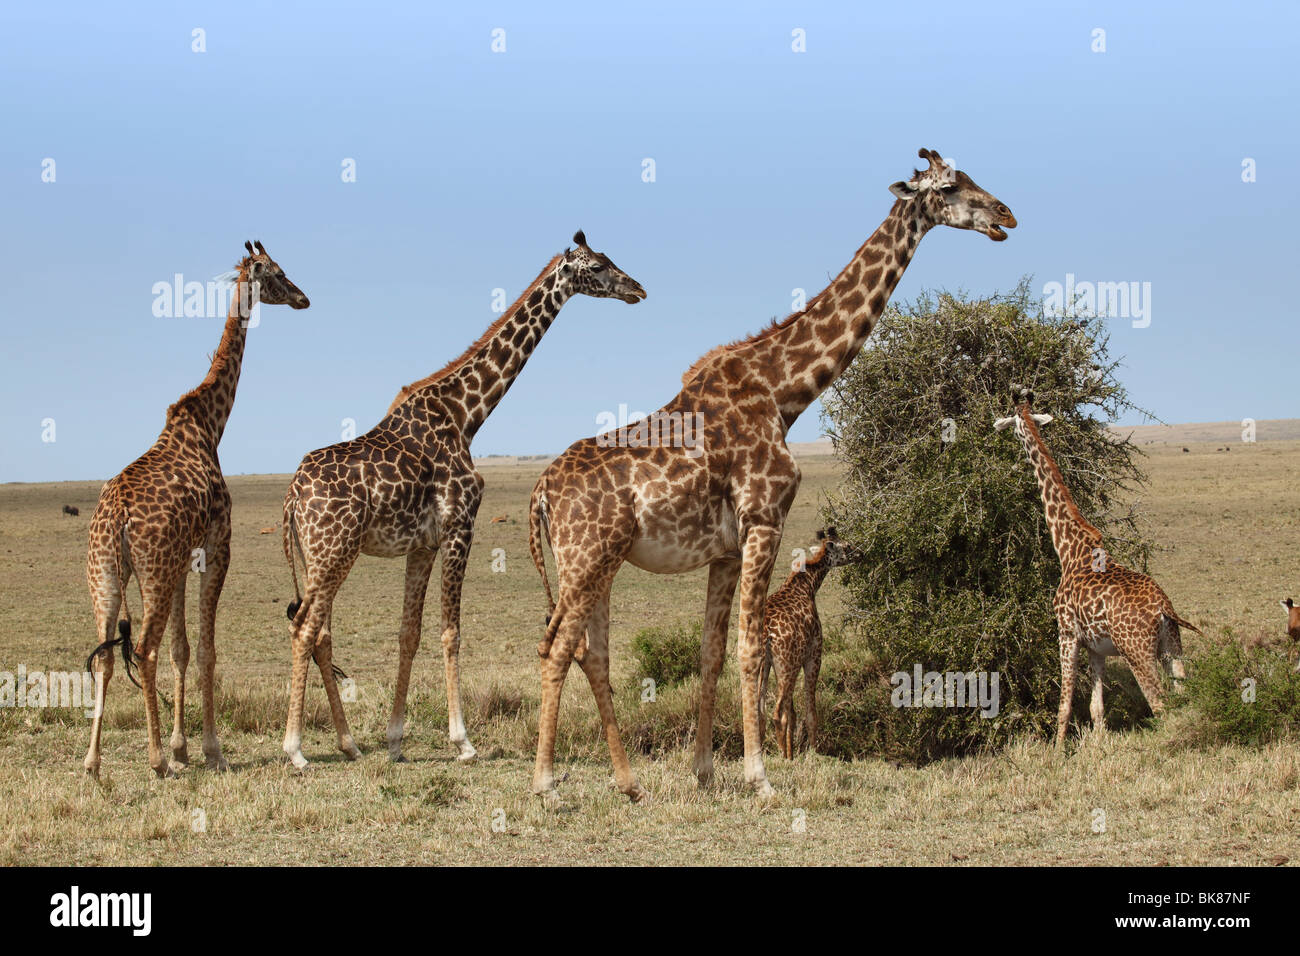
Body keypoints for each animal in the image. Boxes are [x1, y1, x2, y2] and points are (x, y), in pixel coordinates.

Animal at [84, 240, 312, 780]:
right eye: (278, 272)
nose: (304, 298)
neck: (210, 424)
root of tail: (118, 519)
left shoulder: (183, 559)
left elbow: (182, 649)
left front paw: (183, 747)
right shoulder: (216, 545)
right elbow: (206, 650)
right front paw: (209, 750)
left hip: (106, 573)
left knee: (104, 654)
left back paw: (93, 761)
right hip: (151, 569)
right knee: (141, 649)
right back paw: (153, 761)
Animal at [286, 230, 650, 770]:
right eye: (600, 265)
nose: (638, 289)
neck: (466, 413)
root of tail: (290, 496)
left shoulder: (421, 544)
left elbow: (410, 632)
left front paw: (395, 740)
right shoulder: (461, 526)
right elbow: (450, 631)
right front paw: (462, 742)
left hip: (316, 554)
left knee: (321, 632)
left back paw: (348, 743)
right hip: (335, 549)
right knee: (305, 628)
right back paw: (295, 749)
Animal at [759, 528, 863, 759]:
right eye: (847, 546)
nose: (861, 553)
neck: (808, 586)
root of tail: (767, 633)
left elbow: (793, 712)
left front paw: (795, 753)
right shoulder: (814, 654)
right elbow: (810, 713)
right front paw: (813, 753)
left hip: (763, 665)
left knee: (759, 710)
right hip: (786, 664)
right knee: (777, 713)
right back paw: (782, 757)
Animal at [993, 390, 1196, 749]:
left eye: (1013, 420)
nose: (1002, 430)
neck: (1069, 548)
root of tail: (1163, 608)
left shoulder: (1066, 633)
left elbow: (1065, 703)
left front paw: (1057, 751)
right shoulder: (1097, 648)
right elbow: (1096, 707)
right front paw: (1099, 748)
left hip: (1136, 650)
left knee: (1159, 703)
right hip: (1173, 647)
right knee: (1181, 694)